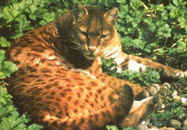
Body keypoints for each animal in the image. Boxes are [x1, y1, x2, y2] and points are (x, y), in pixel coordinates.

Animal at [5, 3, 186, 130]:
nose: (91, 49)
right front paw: (146, 88)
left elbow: (148, 63)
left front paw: (178, 73)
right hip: (84, 79)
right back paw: (157, 97)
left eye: (103, 35)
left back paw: (160, 95)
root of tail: (38, 112)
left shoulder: (120, 58)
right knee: (120, 117)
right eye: (84, 33)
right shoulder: (96, 72)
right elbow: (119, 81)